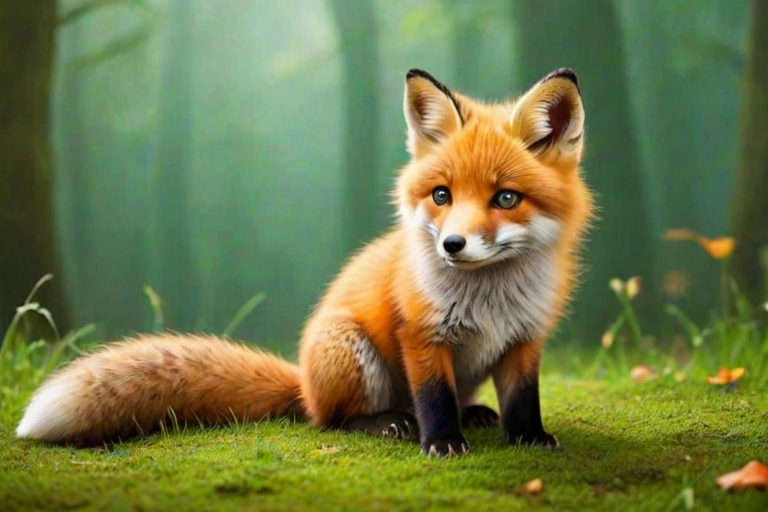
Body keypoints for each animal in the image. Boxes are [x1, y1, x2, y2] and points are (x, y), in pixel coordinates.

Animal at [16, 67, 593, 457]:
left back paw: (471, 413)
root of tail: (304, 385)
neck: (489, 299)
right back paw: (388, 423)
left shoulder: (525, 339)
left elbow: (523, 401)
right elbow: (432, 400)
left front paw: (529, 439)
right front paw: (442, 442)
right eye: (441, 195)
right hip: (352, 352)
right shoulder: (422, 336)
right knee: (334, 421)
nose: (452, 245)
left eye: (505, 199)